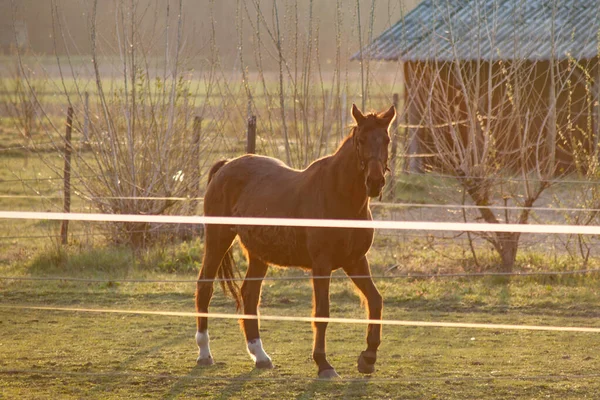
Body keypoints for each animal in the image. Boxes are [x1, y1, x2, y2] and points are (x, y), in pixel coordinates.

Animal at [195, 103, 396, 378]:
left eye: (386, 140)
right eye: (362, 140)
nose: (375, 182)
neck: (338, 195)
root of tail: (226, 166)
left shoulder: (355, 260)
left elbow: (375, 301)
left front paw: (368, 357)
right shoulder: (322, 265)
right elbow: (322, 312)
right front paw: (323, 364)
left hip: (258, 253)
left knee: (249, 294)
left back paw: (260, 355)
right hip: (218, 238)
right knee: (205, 286)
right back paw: (204, 353)